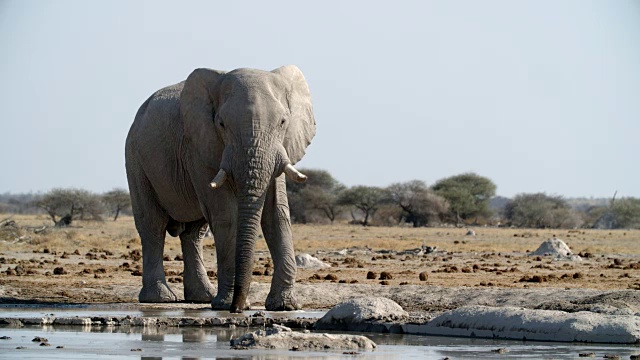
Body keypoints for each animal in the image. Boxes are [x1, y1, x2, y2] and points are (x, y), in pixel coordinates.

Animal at [124, 64, 316, 312]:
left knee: (194, 233)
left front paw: (284, 306)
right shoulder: (198, 146)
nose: (239, 309)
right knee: (152, 225)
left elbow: (277, 214)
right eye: (222, 124)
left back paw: (201, 297)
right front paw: (225, 305)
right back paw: (160, 299)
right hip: (135, 159)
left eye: (283, 122)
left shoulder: (280, 148)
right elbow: (227, 216)